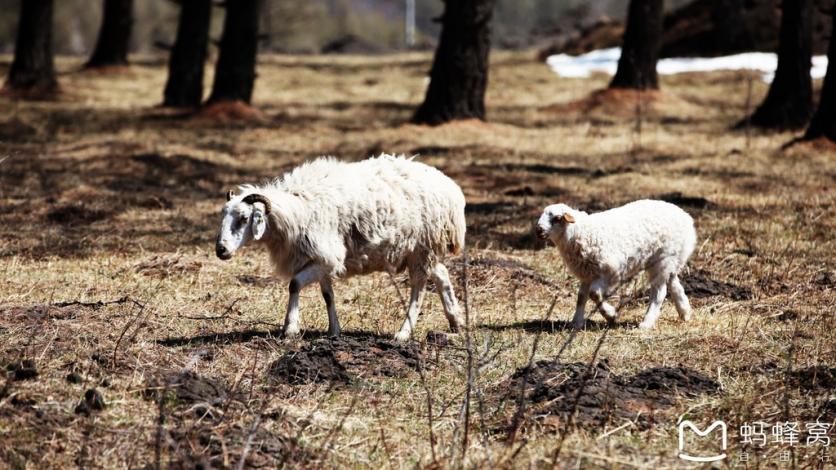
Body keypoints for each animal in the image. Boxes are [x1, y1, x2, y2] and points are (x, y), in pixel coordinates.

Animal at [212, 154, 466, 342]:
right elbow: (328, 295)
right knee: (442, 274)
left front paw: (290, 328)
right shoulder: (321, 260)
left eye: (244, 218)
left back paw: (403, 333)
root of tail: (451, 189)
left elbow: (294, 284)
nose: (220, 250)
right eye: (223, 215)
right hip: (424, 251)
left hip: (422, 247)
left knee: (419, 289)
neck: (298, 209)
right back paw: (456, 321)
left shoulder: (326, 257)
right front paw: (334, 330)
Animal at [536, 200, 700, 328]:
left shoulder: (609, 272)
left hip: (663, 259)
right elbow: (581, 297)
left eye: (557, 218)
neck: (580, 232)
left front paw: (611, 315)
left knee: (659, 292)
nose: (538, 230)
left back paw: (646, 323)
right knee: (674, 283)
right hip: (670, 259)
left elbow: (594, 294)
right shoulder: (587, 273)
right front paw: (576, 322)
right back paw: (685, 312)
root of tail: (686, 217)